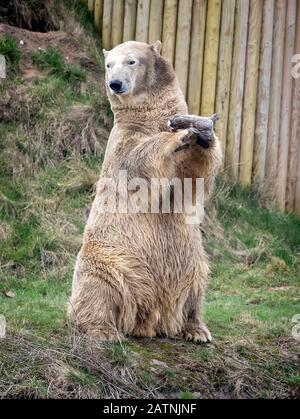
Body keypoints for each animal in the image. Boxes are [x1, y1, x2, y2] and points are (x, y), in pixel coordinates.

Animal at [68, 39, 223, 342]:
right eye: (108, 64)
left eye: (131, 61)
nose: (115, 84)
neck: (150, 116)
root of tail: (146, 318)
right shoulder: (122, 140)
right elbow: (136, 165)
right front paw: (179, 135)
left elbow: (194, 175)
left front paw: (201, 131)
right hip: (112, 258)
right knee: (98, 287)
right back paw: (103, 329)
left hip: (191, 257)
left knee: (195, 288)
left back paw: (196, 329)